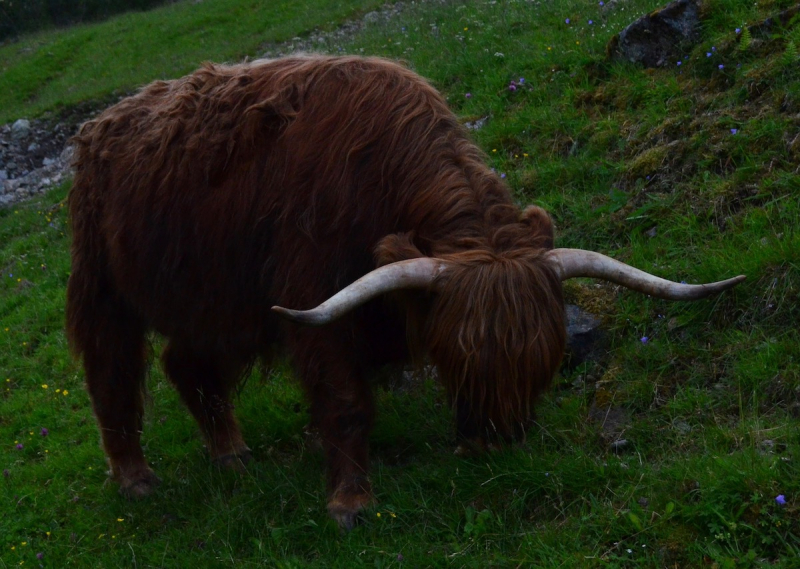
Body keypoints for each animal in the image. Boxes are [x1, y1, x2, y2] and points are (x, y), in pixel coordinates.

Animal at [67, 54, 744, 528]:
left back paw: (231, 454)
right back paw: (135, 478)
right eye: (462, 355)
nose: (498, 442)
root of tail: (104, 120)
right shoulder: (312, 297)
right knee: (112, 372)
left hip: (214, 299)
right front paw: (350, 503)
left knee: (187, 363)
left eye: (544, 360)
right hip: (103, 284)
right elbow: (345, 402)